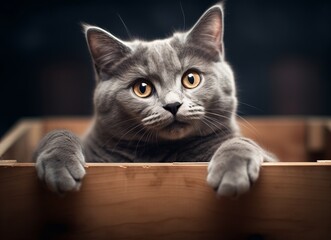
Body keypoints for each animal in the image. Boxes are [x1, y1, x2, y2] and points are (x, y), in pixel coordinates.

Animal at [35, 3, 276, 197]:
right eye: (142, 88)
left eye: (191, 79)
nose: (173, 105)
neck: (160, 154)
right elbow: (59, 133)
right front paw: (59, 167)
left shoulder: (272, 159)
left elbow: (241, 142)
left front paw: (231, 171)